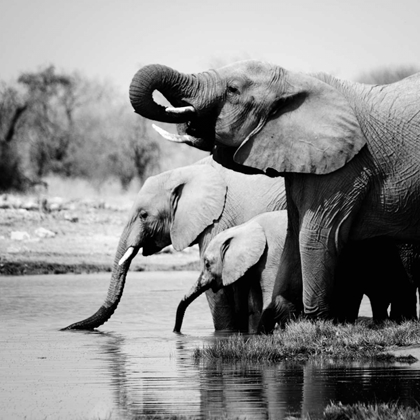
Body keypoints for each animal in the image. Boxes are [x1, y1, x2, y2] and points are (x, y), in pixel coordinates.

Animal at [61, 155, 286, 332]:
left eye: (144, 215)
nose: (66, 327)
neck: (186, 172)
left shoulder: (219, 220)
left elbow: (220, 288)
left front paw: (227, 335)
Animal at [130, 60, 420, 328]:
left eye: (233, 90)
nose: (175, 332)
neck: (296, 80)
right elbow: (294, 234)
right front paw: (276, 319)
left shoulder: (347, 166)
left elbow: (316, 236)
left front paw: (315, 324)